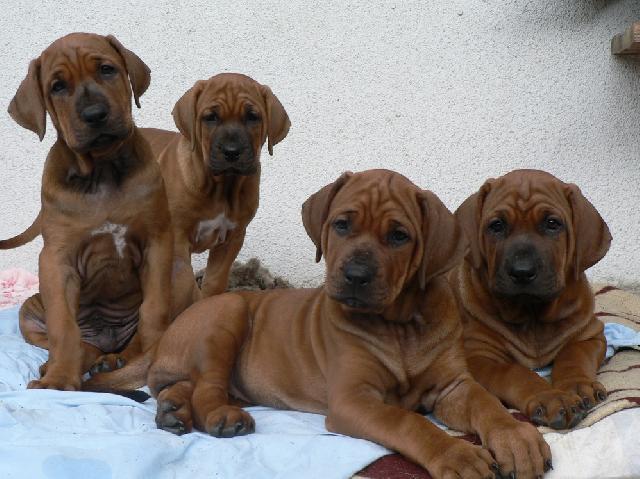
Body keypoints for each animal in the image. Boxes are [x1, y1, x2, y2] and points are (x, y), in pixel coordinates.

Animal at [0, 34, 172, 394]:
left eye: (107, 70)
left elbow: (153, 312)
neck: (102, 169)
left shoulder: (157, 243)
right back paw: (62, 363)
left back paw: (118, 358)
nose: (95, 115)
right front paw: (59, 379)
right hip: (29, 311)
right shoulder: (56, 260)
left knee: (126, 337)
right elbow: (64, 328)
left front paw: (148, 357)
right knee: (79, 342)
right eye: (57, 87)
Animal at [141, 73, 292, 316]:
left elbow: (214, 281)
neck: (222, 188)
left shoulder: (232, 238)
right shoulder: (177, 238)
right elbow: (183, 284)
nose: (232, 152)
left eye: (253, 117)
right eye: (210, 118)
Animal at [144, 170, 552, 479]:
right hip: (228, 309)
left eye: (399, 236)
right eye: (341, 225)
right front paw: (457, 455)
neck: (400, 325)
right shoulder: (354, 399)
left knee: (187, 384)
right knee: (207, 387)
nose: (355, 276)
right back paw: (220, 416)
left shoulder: (453, 386)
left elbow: (488, 404)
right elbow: (408, 422)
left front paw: (516, 438)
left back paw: (173, 410)